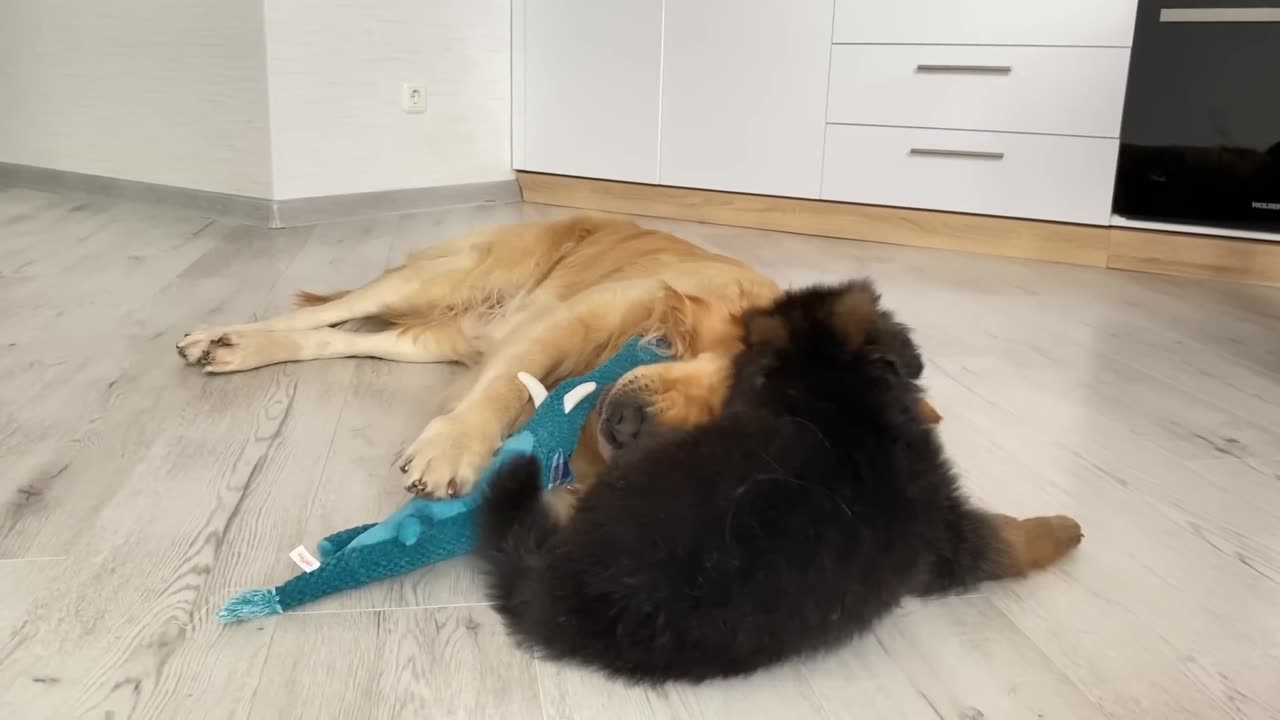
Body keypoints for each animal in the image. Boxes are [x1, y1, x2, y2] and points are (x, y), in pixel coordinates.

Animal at [175, 211, 942, 491]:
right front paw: (454, 449)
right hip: (451, 275)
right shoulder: (581, 315)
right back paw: (220, 335)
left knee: (339, 338)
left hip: (433, 339)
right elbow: (506, 385)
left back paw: (238, 349)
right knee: (332, 310)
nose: (626, 428)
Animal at [478, 278, 1080, 681]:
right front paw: (1062, 528)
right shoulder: (938, 527)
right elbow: (1004, 538)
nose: (620, 421)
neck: (836, 398)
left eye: (730, 397)